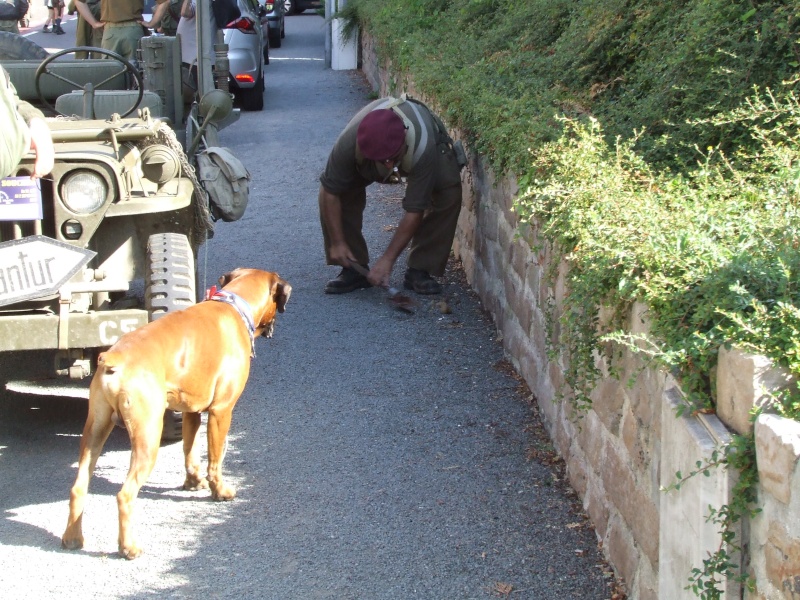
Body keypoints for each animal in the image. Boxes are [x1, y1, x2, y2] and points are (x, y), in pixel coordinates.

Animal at [61, 268, 290, 556]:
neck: (234, 303)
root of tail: (114, 359)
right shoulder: (220, 411)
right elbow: (215, 458)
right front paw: (220, 491)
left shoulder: (192, 411)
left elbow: (190, 451)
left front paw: (193, 482)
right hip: (147, 439)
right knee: (125, 495)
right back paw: (129, 547)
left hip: (94, 433)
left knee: (78, 488)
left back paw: (72, 538)